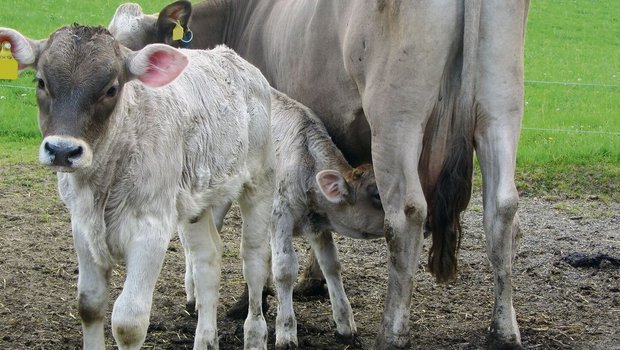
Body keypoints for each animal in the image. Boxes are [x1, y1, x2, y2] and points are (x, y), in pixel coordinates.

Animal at [0, 23, 274, 348]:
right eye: (41, 81)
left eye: (111, 89)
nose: (63, 150)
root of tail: (232, 57)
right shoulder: (81, 226)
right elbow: (89, 305)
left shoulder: (151, 230)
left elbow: (128, 322)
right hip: (196, 199)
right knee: (207, 257)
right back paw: (206, 338)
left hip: (260, 184)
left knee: (255, 260)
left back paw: (255, 334)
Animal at [110, 1, 528, 348]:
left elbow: (260, 249)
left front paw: (252, 303)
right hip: (501, 107)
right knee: (502, 210)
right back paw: (504, 330)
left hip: (397, 120)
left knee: (407, 216)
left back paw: (392, 333)